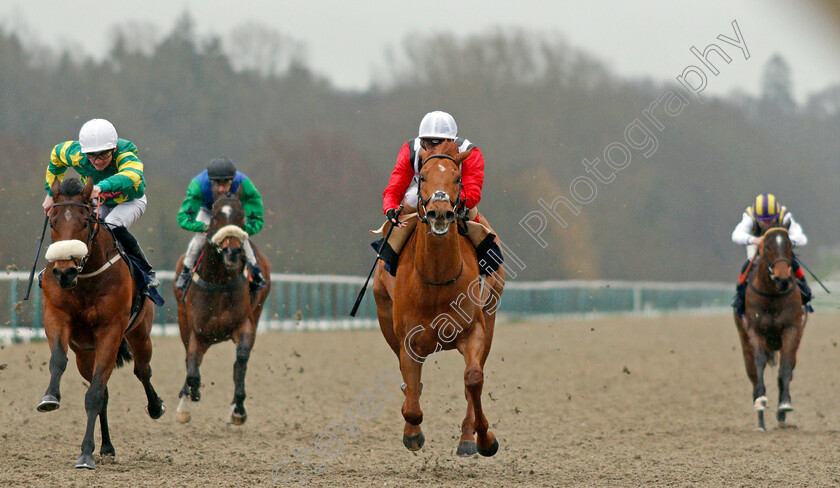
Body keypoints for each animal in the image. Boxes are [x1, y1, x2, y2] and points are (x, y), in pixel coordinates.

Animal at [37, 176, 166, 468]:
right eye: (53, 222)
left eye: (85, 222)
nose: (64, 272)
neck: (85, 279)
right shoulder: (56, 315)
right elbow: (58, 360)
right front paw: (49, 397)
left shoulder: (111, 329)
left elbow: (94, 395)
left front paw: (85, 454)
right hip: (86, 353)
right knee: (104, 390)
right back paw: (106, 446)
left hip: (140, 334)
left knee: (142, 371)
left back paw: (155, 406)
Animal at [173, 191, 270, 424]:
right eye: (216, 216)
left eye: (241, 215)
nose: (231, 251)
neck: (218, 280)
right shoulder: (197, 331)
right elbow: (192, 366)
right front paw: (190, 396)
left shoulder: (244, 325)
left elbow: (241, 360)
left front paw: (238, 408)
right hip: (183, 322)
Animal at [374, 141, 506, 458]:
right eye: (422, 177)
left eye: (458, 178)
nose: (440, 213)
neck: (435, 280)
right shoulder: (409, 339)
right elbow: (411, 399)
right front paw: (412, 434)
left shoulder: (474, 331)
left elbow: (473, 379)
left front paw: (484, 438)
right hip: (384, 315)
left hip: (491, 313)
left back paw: (468, 438)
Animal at [736, 226, 808, 430]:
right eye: (767, 246)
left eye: (789, 244)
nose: (782, 278)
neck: (772, 295)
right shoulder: (755, 332)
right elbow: (759, 363)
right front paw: (761, 401)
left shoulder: (791, 330)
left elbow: (785, 367)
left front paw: (784, 404)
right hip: (744, 344)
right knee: (752, 374)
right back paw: (760, 420)